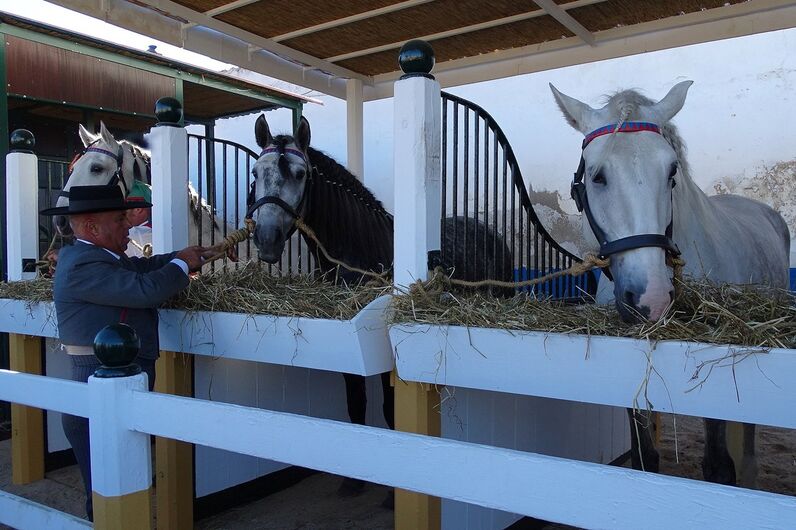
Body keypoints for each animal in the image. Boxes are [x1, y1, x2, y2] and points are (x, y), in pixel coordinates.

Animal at [248, 114, 514, 494]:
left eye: (299, 174)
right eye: (257, 172)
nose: (267, 240)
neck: (359, 251)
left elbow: (390, 412)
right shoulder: (348, 348)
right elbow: (356, 404)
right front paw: (353, 482)